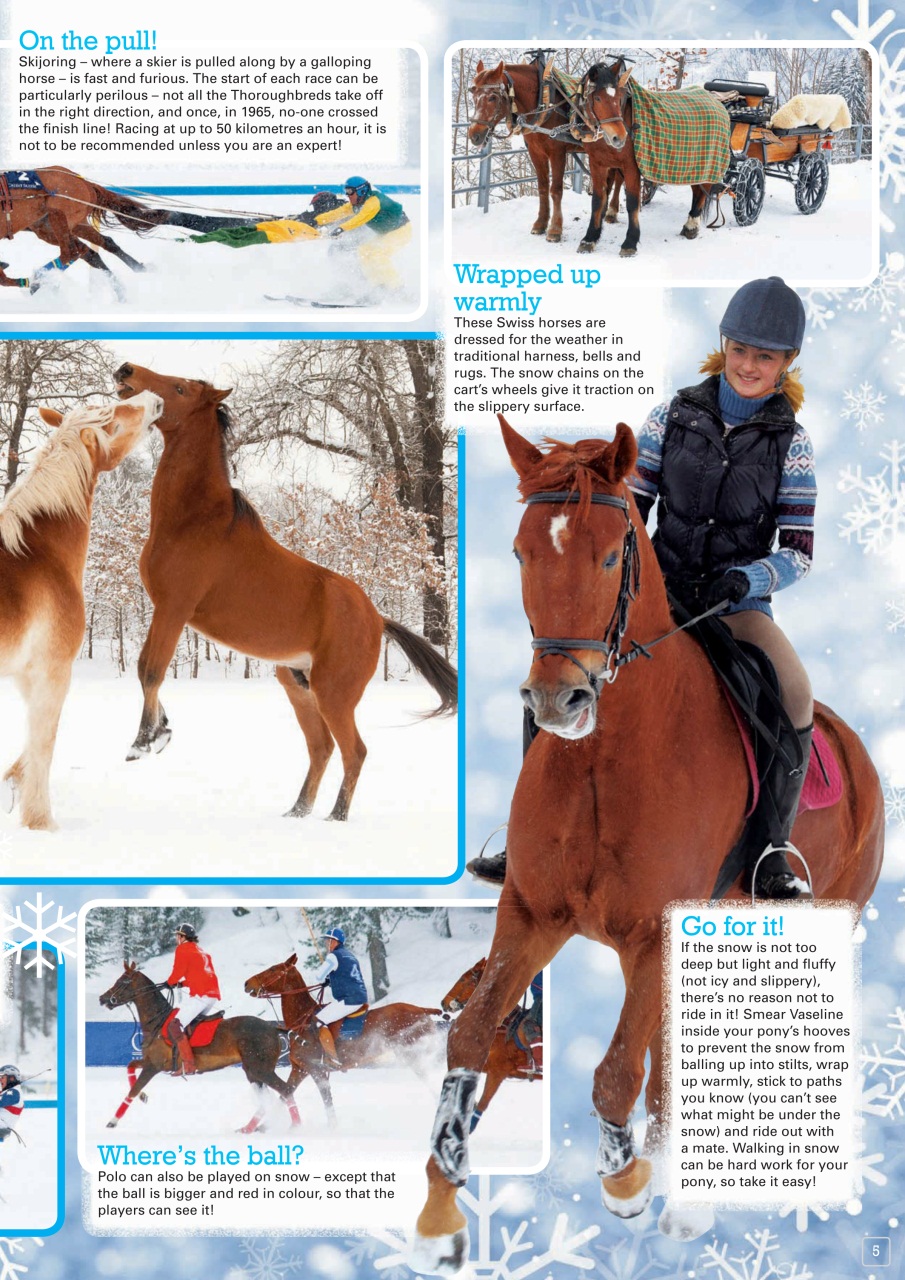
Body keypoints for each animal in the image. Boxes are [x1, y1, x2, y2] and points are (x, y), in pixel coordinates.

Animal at [0, 167, 169, 293]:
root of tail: (84, 182)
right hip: (56, 227)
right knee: (94, 247)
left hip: (58, 218)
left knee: (72, 251)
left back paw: (37, 279)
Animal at [0, 391, 162, 831]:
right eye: (116, 421)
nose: (154, 399)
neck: (36, 554)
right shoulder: (53, 672)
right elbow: (44, 744)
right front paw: (40, 822)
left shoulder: (25, 674)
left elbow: (33, 745)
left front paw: (14, 783)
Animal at [98, 962, 301, 1133]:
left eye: (122, 981)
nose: (103, 999)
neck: (156, 1021)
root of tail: (274, 1027)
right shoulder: (150, 1062)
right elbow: (130, 1066)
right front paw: (143, 1096)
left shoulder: (153, 1066)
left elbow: (132, 1090)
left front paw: (112, 1121)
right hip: (253, 1070)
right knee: (267, 1100)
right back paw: (248, 1129)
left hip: (260, 1069)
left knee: (285, 1090)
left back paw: (295, 1127)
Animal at [112, 363, 457, 822]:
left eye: (181, 388)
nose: (126, 370)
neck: (193, 520)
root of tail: (377, 618)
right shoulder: (165, 610)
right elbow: (145, 667)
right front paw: (163, 730)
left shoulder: (174, 608)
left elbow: (151, 669)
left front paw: (145, 742)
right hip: (298, 686)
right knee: (322, 748)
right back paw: (297, 811)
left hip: (334, 693)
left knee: (354, 751)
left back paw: (335, 817)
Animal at [245, 954, 448, 1098]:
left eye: (273, 969)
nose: (247, 983)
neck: (302, 1019)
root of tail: (422, 1009)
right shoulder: (300, 1069)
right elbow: (285, 1096)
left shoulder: (317, 1070)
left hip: (413, 1053)